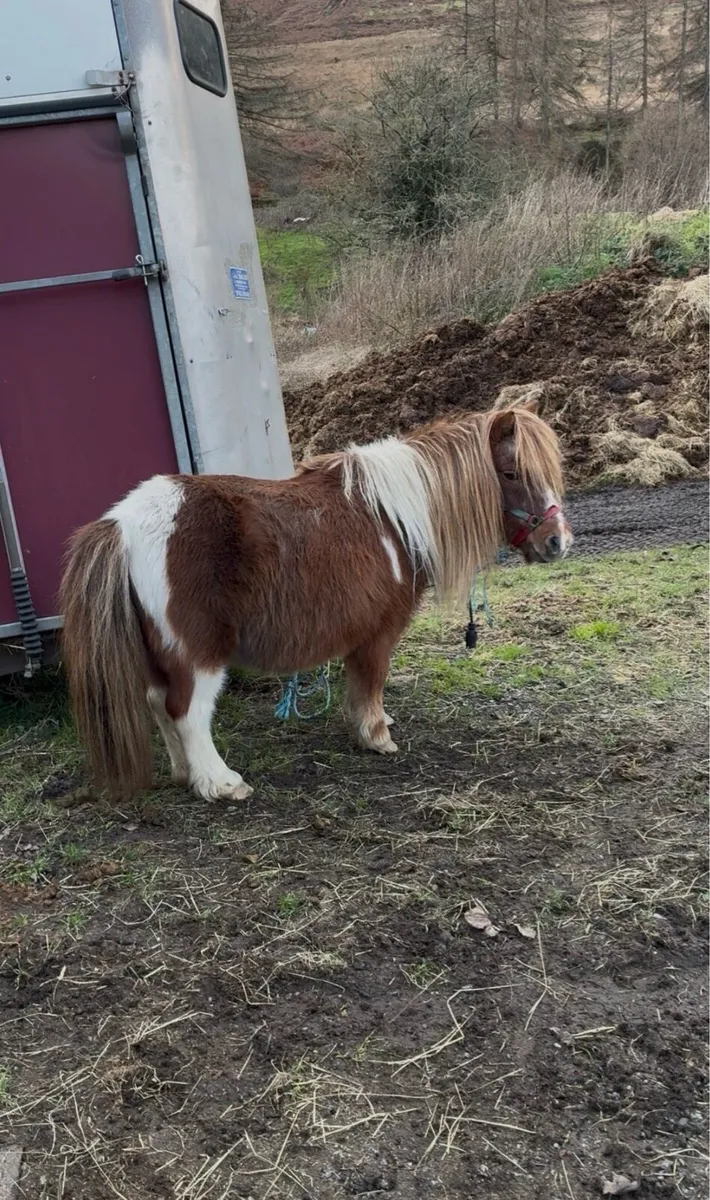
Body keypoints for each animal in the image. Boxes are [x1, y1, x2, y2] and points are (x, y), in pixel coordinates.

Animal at [59, 400, 572, 803]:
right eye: (512, 473)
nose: (558, 542)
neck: (396, 518)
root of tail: (120, 523)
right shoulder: (378, 633)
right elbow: (370, 683)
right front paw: (376, 736)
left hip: (158, 653)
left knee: (158, 706)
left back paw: (186, 773)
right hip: (197, 654)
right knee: (186, 711)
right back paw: (221, 783)